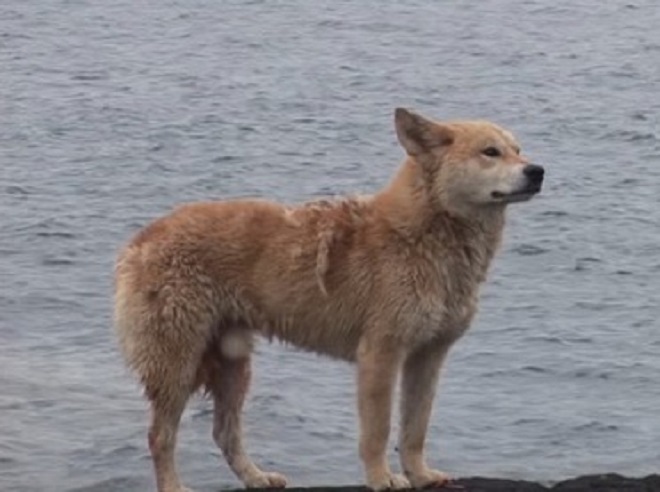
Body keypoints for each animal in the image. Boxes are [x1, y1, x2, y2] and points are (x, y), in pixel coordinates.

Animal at [114, 109, 548, 492]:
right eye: (490, 152)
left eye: (518, 149)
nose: (538, 171)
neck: (427, 233)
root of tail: (142, 239)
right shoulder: (380, 354)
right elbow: (378, 430)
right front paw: (382, 478)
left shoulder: (428, 356)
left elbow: (415, 427)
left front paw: (421, 475)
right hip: (177, 364)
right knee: (160, 436)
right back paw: (174, 486)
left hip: (233, 363)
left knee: (225, 432)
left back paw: (257, 478)